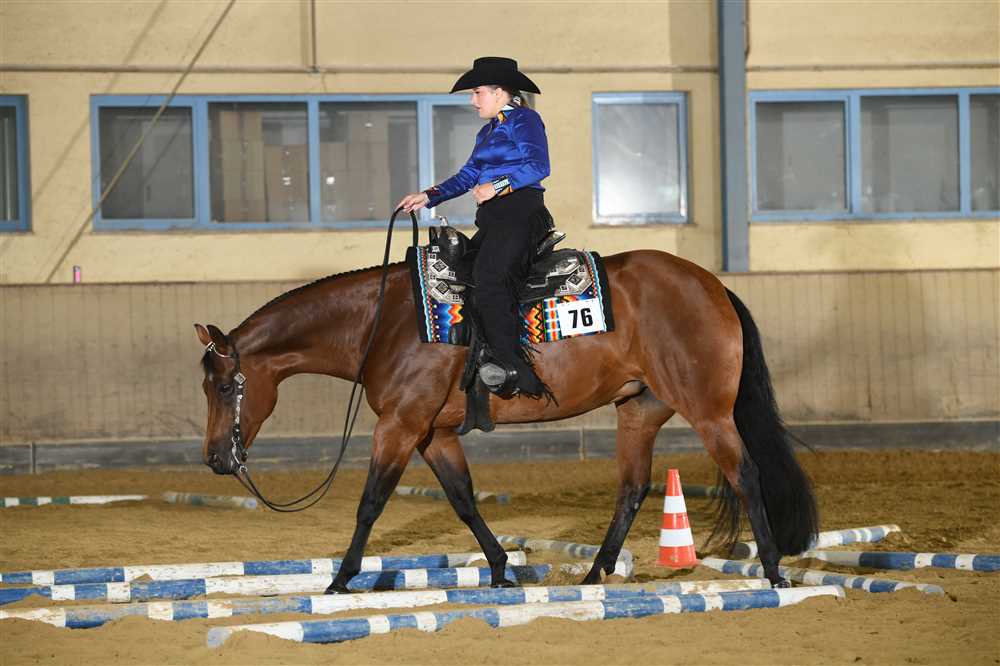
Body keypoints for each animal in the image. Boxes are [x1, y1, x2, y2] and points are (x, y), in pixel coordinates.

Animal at [194, 248, 818, 590]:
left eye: (225, 386)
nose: (217, 459)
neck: (385, 322)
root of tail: (712, 284)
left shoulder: (398, 427)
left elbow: (370, 503)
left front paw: (341, 580)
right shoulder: (433, 433)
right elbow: (464, 499)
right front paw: (499, 569)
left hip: (708, 411)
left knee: (746, 475)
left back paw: (773, 573)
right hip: (638, 410)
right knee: (632, 489)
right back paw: (594, 575)